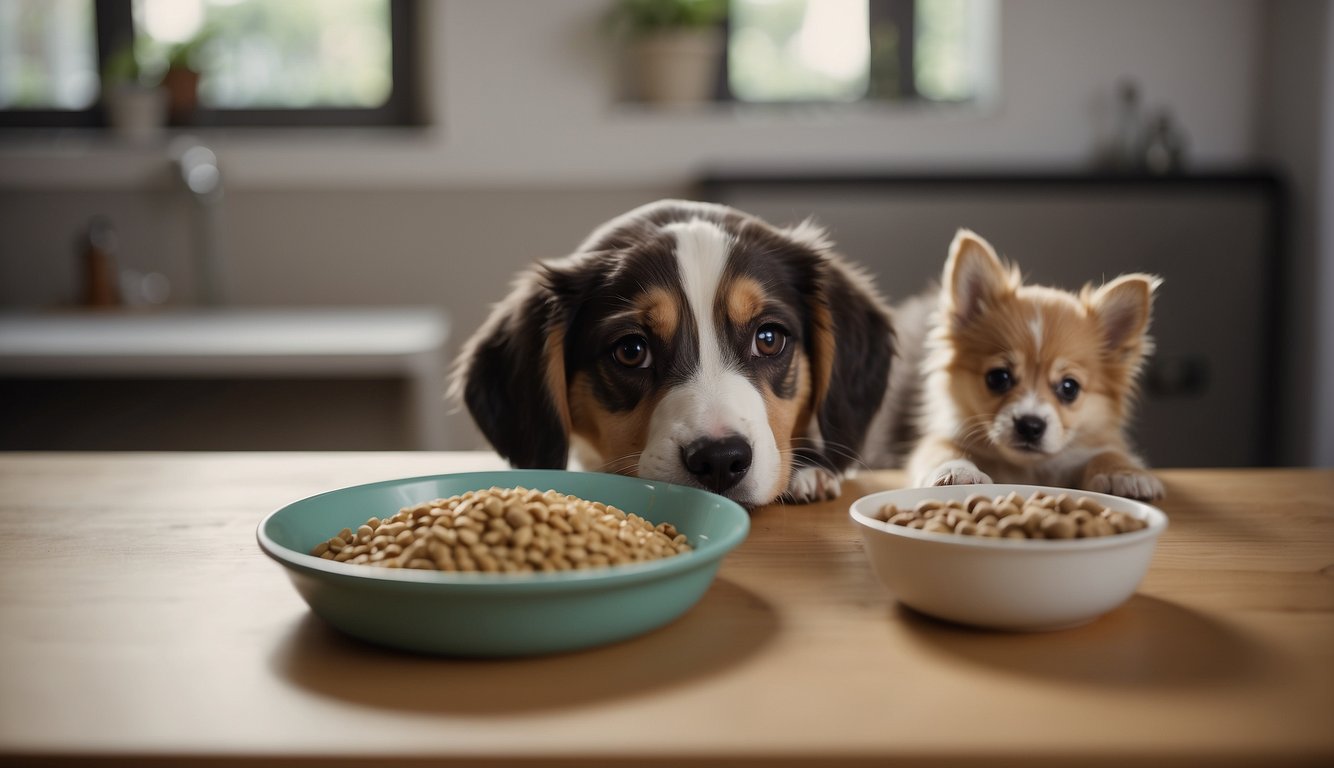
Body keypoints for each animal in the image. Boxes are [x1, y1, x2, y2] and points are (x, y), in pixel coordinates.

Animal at [901, 230, 1163, 501]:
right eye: (998, 378)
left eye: (1069, 388)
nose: (1030, 425)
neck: (1027, 468)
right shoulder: (942, 435)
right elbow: (942, 449)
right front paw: (957, 471)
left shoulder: (1097, 444)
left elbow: (1109, 452)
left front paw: (1125, 474)